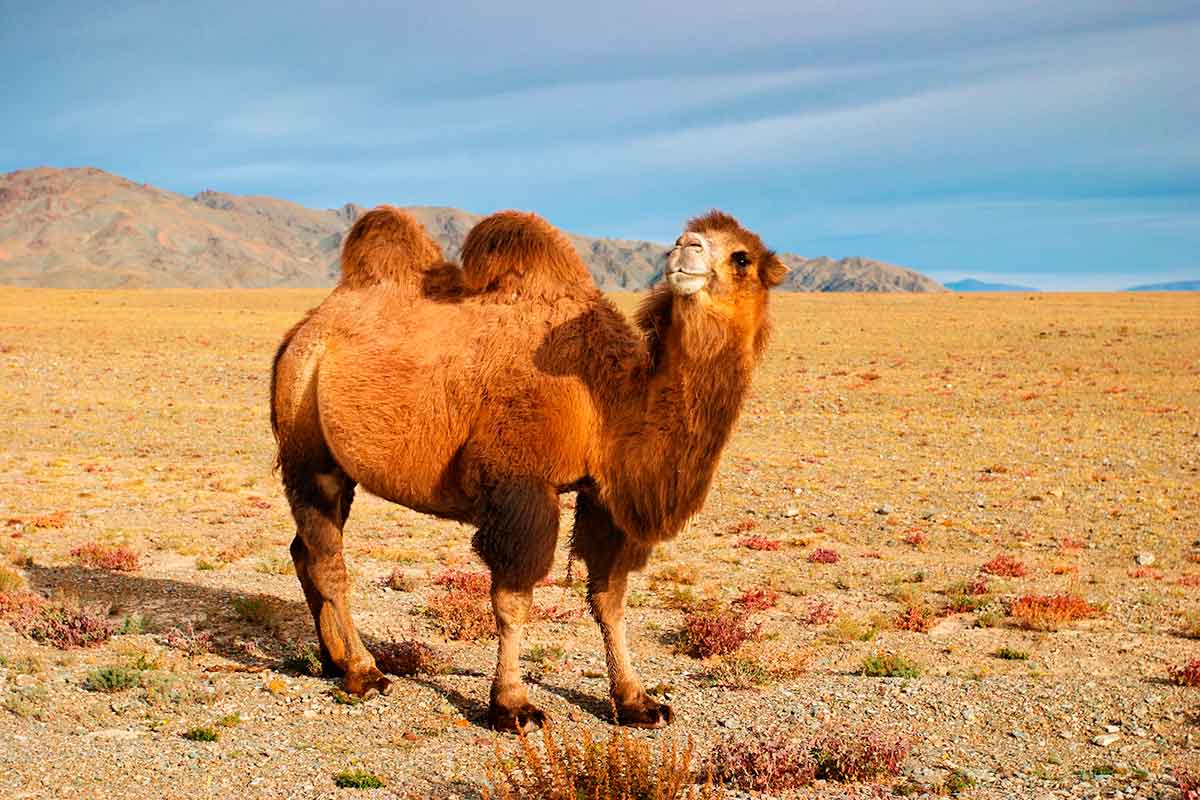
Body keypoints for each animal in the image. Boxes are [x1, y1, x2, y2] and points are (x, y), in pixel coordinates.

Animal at [270, 205, 788, 731]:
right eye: (687, 238)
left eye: (742, 257)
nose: (686, 247)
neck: (607, 397)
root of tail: (305, 329)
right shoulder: (520, 484)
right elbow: (514, 600)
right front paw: (513, 705)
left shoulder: (603, 495)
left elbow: (610, 598)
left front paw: (637, 701)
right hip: (307, 444)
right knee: (327, 558)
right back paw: (364, 671)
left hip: (336, 461)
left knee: (303, 549)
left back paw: (332, 659)